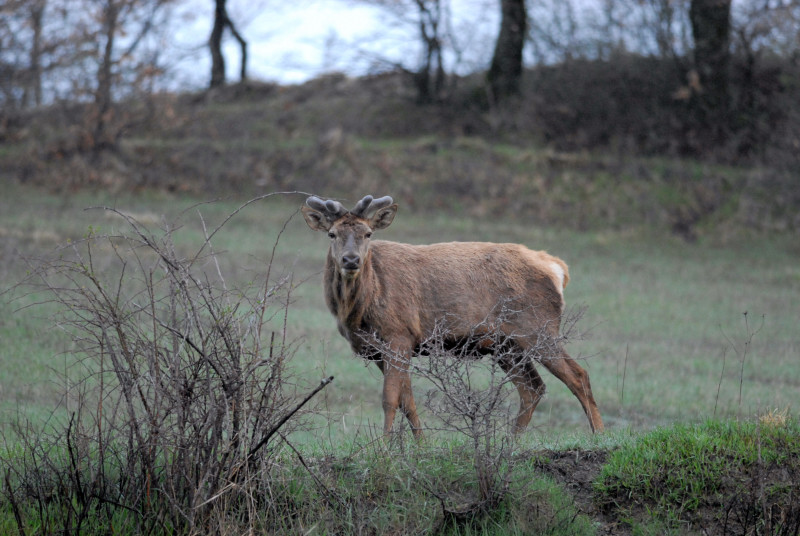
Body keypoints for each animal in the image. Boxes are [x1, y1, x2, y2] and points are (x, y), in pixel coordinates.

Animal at [304, 195, 604, 438]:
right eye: (332, 234)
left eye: (367, 233)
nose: (351, 260)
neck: (361, 308)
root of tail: (558, 269)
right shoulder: (380, 349)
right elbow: (407, 401)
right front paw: (421, 446)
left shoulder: (398, 334)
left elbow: (390, 399)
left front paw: (384, 449)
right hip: (506, 344)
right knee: (533, 387)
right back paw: (511, 443)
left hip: (538, 328)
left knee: (578, 376)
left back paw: (598, 436)